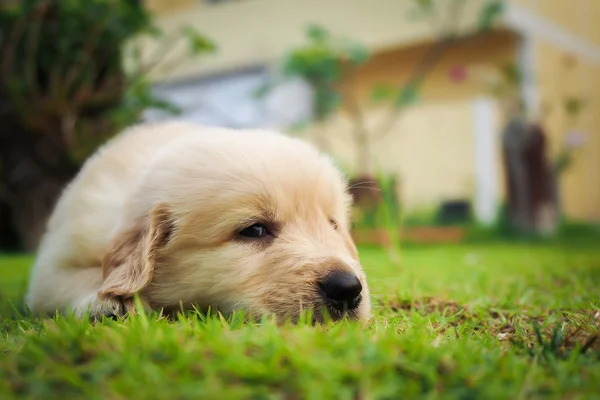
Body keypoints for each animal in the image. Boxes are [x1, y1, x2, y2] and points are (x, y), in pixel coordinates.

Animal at [25, 121, 372, 322]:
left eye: (333, 225)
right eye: (254, 230)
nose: (347, 289)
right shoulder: (53, 266)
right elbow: (75, 280)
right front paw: (107, 303)